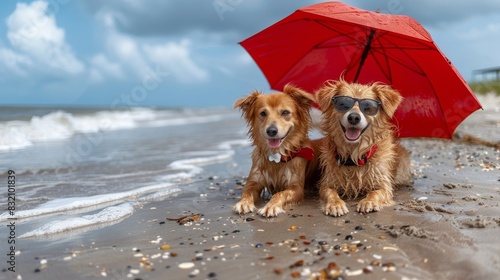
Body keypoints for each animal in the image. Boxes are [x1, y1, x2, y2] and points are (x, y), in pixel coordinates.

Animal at [232, 85, 318, 219]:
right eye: (263, 113)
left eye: (285, 112)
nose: (271, 131)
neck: (276, 155)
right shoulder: (254, 181)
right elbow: (247, 191)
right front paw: (243, 203)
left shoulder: (296, 187)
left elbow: (280, 194)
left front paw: (271, 206)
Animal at [314, 80, 412, 215]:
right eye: (343, 104)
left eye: (369, 107)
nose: (354, 117)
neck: (354, 154)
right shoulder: (327, 183)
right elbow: (330, 192)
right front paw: (335, 204)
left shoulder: (384, 185)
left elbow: (375, 192)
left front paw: (368, 201)